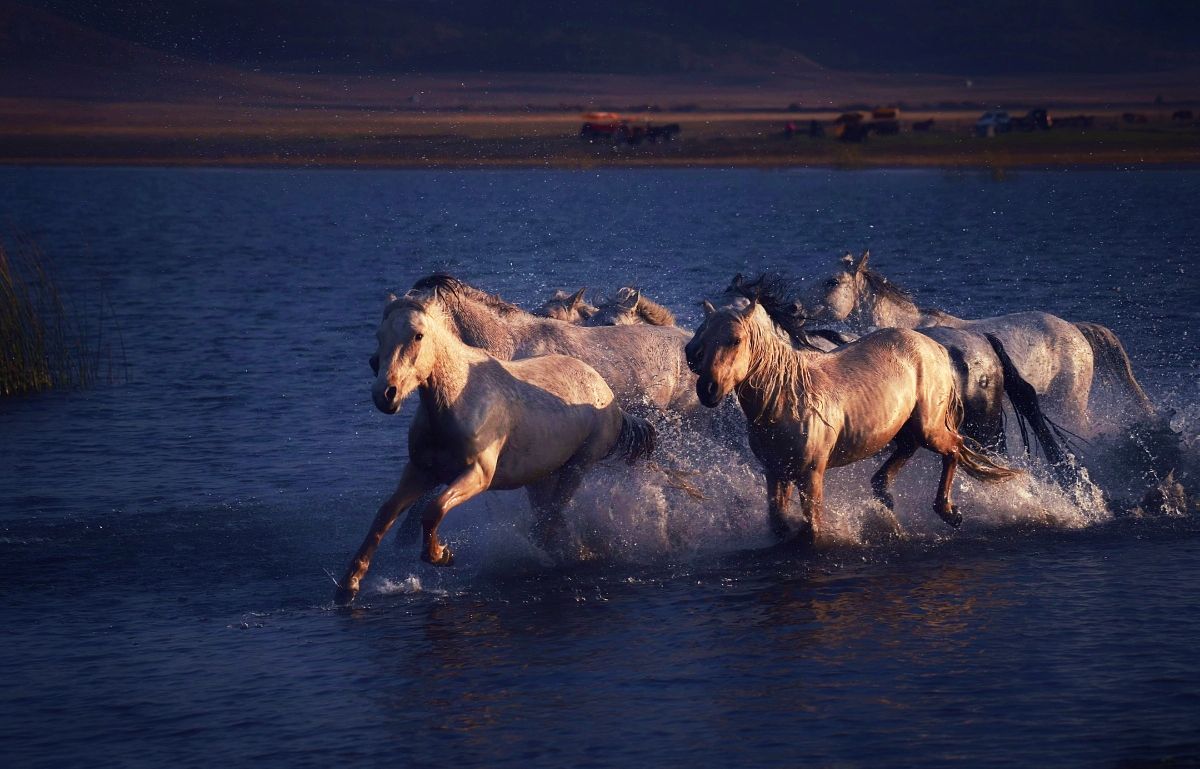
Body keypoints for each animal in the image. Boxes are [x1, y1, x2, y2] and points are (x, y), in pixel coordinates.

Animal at [336, 290, 657, 602]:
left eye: (418, 335)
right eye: (380, 335)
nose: (385, 394)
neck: (456, 402)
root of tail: (606, 392)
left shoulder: (477, 475)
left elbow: (434, 509)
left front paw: (442, 555)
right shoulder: (420, 472)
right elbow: (385, 515)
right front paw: (349, 584)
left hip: (578, 467)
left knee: (552, 517)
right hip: (542, 477)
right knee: (549, 517)